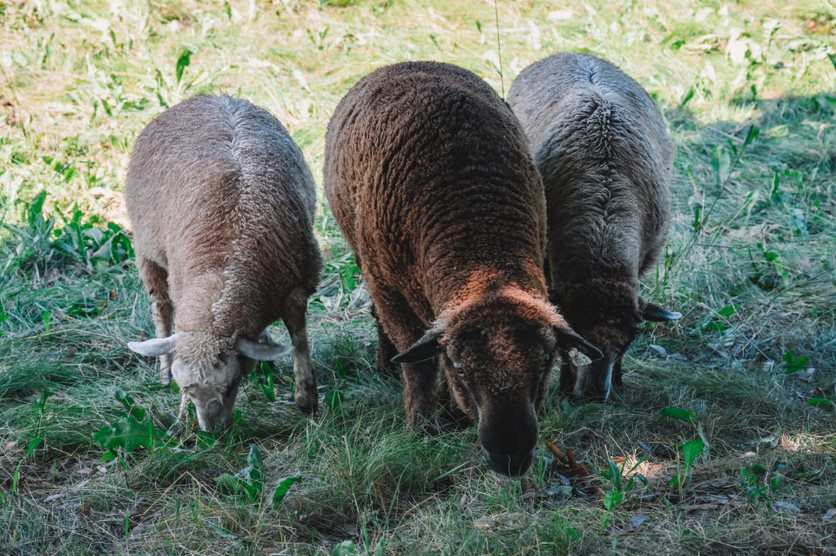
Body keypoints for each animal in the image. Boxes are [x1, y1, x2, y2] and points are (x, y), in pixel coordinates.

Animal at [125, 94, 322, 432]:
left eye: (232, 385)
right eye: (186, 390)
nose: (213, 433)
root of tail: (214, 96)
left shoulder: (296, 286)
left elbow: (298, 338)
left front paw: (306, 398)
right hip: (147, 253)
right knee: (161, 308)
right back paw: (162, 369)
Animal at [324, 61, 600, 476]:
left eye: (544, 365)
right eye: (461, 369)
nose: (510, 457)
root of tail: (409, 63)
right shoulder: (389, 289)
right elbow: (419, 364)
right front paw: (422, 428)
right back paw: (385, 366)